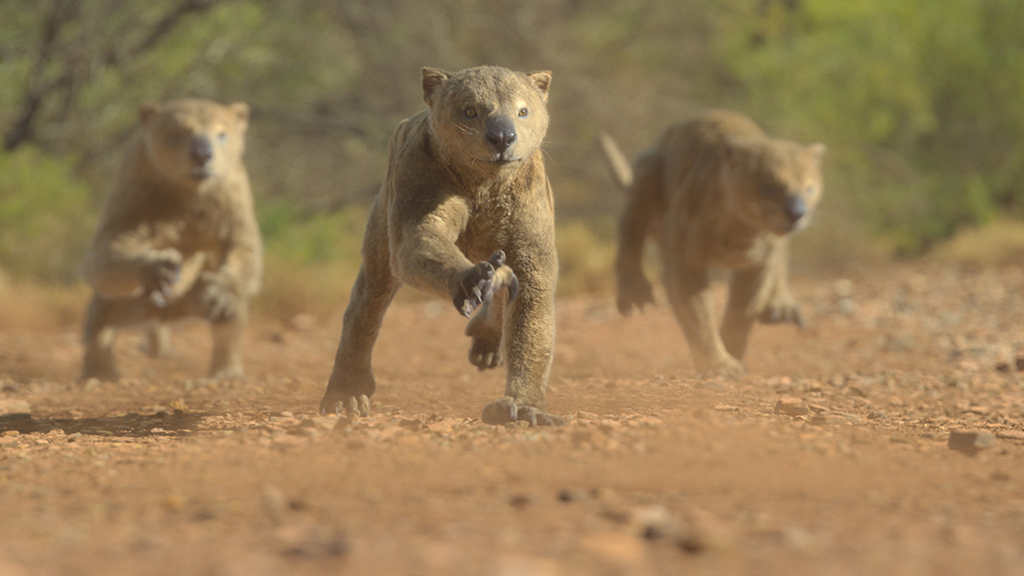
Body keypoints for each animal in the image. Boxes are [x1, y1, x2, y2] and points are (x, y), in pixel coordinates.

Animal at [79, 98, 262, 381]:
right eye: (177, 135)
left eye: (221, 134)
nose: (202, 155)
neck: (189, 194)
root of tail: (165, 314)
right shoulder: (125, 209)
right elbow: (103, 259)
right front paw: (156, 267)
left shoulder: (236, 209)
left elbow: (244, 253)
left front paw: (219, 290)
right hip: (117, 305)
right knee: (98, 334)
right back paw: (100, 374)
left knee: (228, 336)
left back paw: (227, 373)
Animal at [319, 65, 562, 426]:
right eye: (471, 111)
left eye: (522, 111)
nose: (502, 137)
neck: (483, 186)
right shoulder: (419, 215)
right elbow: (426, 247)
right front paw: (475, 280)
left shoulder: (532, 259)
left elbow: (531, 334)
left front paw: (522, 408)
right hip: (379, 253)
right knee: (363, 313)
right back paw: (345, 396)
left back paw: (486, 342)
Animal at [599, 109, 825, 376]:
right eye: (768, 187)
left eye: (809, 188)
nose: (797, 212)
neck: (741, 231)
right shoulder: (684, 265)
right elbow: (699, 316)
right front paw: (718, 365)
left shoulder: (757, 266)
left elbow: (741, 313)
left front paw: (732, 353)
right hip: (648, 169)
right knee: (630, 229)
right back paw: (634, 293)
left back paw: (780, 306)